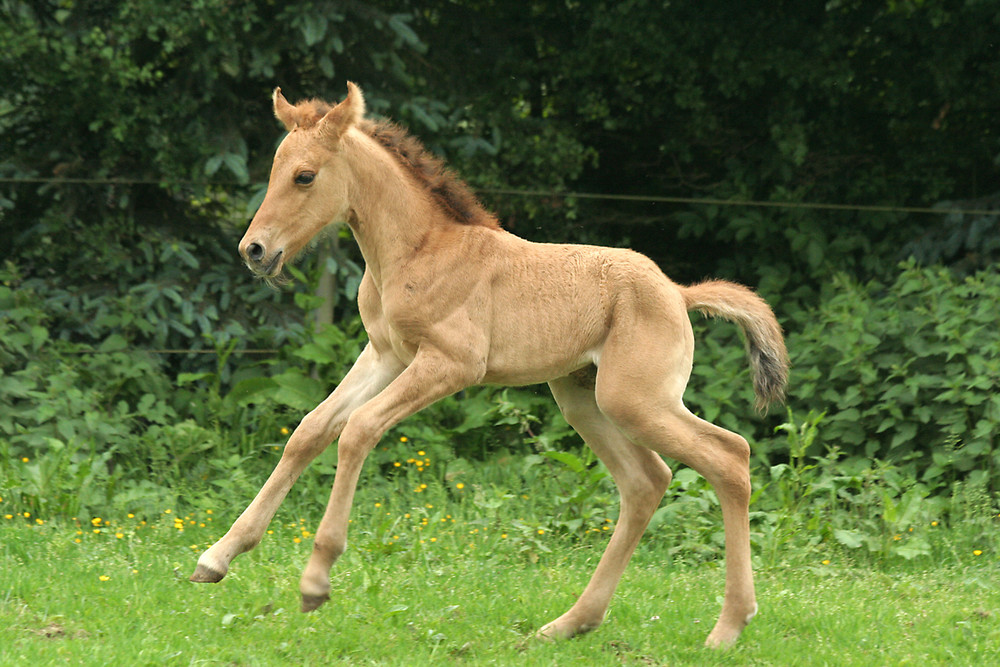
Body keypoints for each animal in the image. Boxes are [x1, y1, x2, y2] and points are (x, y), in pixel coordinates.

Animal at [189, 82, 788, 648]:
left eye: (305, 176)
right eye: (274, 172)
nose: (254, 250)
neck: (418, 250)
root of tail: (678, 293)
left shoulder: (452, 364)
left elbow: (358, 429)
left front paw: (316, 581)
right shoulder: (385, 355)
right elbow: (311, 430)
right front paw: (216, 557)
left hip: (634, 400)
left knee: (730, 456)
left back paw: (728, 626)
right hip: (582, 398)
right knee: (647, 482)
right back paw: (569, 624)